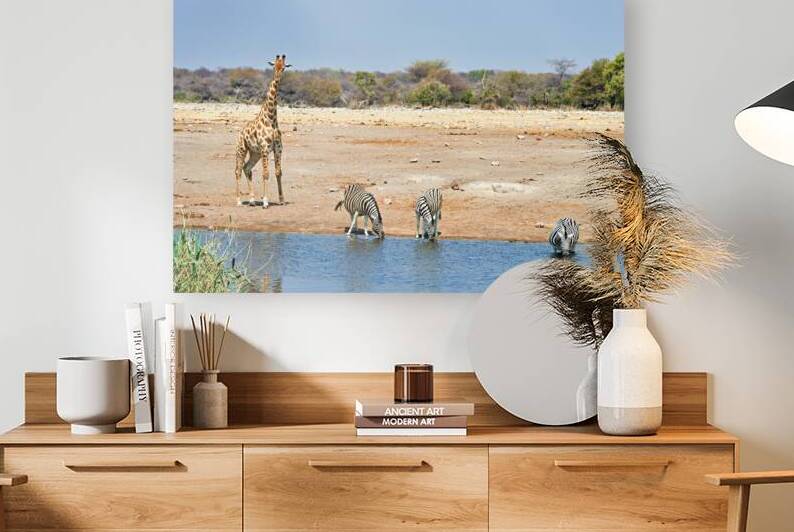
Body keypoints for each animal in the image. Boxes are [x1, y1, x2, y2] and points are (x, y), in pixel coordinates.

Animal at [234, 54, 291, 208]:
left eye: (284, 67)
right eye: (274, 65)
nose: (277, 77)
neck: (271, 118)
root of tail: (240, 133)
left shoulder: (278, 148)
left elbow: (278, 172)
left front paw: (282, 200)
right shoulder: (265, 148)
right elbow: (266, 174)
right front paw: (265, 201)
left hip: (255, 153)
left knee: (247, 168)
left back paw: (252, 200)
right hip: (242, 149)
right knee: (237, 170)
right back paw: (239, 201)